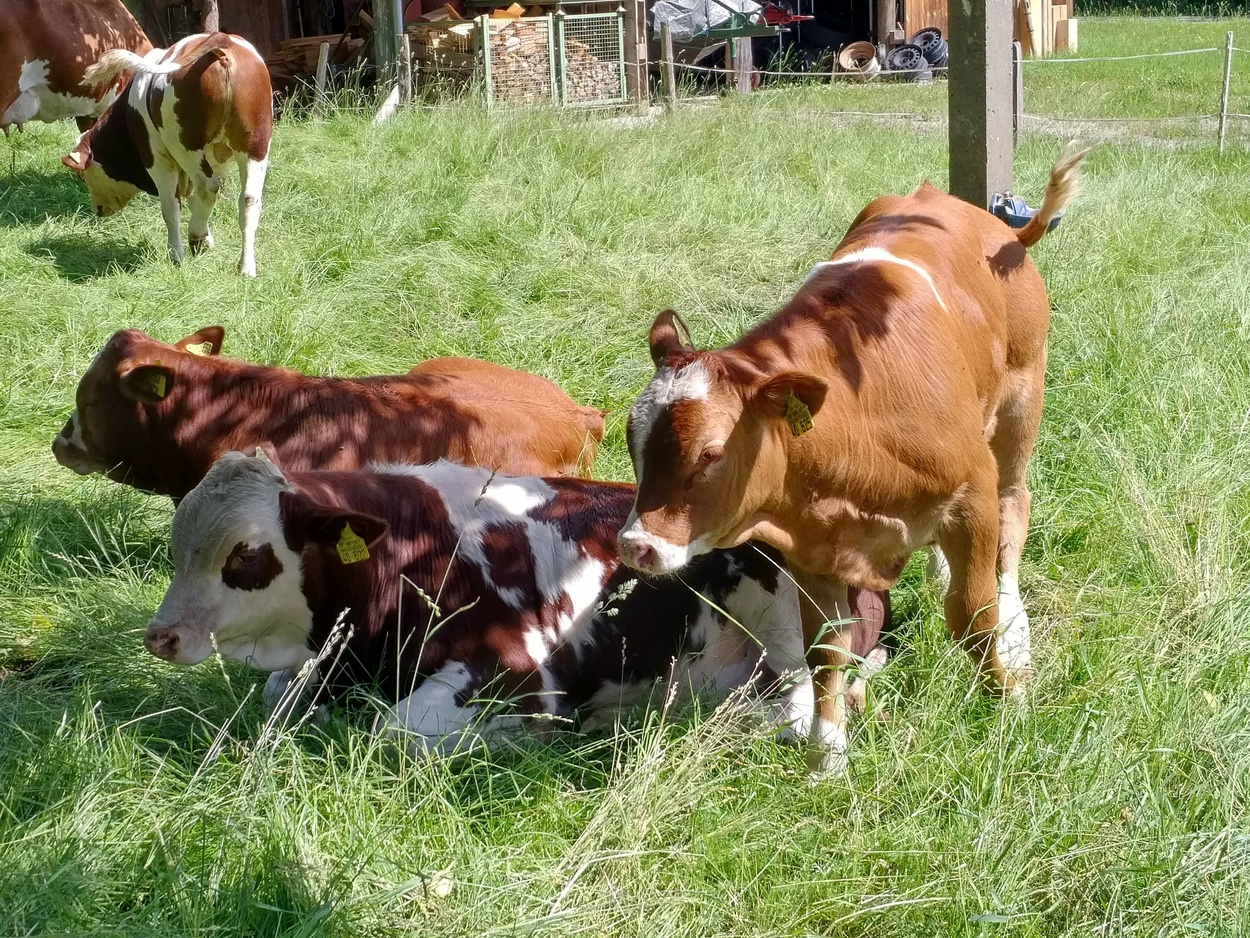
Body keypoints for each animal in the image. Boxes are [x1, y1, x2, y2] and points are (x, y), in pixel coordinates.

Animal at [61, 33, 272, 276]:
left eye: (82, 176)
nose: (97, 210)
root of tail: (223, 41)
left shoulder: (157, 158)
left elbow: (171, 208)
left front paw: (177, 254)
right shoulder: (215, 159)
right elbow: (195, 200)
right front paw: (206, 240)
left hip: (185, 146)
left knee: (207, 188)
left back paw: (195, 236)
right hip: (255, 146)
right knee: (248, 200)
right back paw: (246, 267)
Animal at [142, 451, 892, 754]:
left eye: (245, 553)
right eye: (178, 544)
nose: (159, 636)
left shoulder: (520, 672)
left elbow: (397, 731)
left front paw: (514, 735)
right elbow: (279, 694)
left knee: (800, 699)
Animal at [617, 148, 1091, 776]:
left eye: (710, 453)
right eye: (631, 440)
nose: (635, 546)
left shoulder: (972, 495)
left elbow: (972, 615)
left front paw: (1009, 700)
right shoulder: (813, 546)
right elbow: (825, 650)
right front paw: (828, 754)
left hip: (1020, 405)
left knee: (1015, 509)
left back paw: (1016, 626)